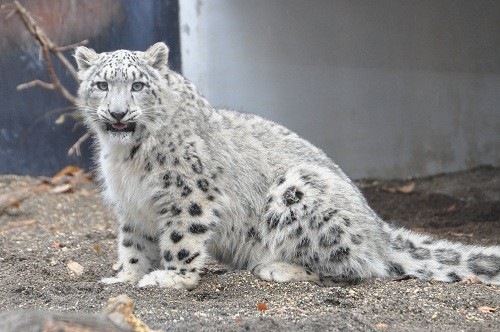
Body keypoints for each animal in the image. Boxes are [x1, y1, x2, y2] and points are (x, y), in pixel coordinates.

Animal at [74, 42, 500, 290]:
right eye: (101, 85)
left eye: (137, 86)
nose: (117, 113)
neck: (126, 160)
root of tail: (379, 230)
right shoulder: (131, 205)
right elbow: (132, 243)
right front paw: (125, 275)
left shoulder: (189, 194)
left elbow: (182, 238)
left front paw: (171, 278)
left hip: (298, 188)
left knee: (358, 267)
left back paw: (277, 268)